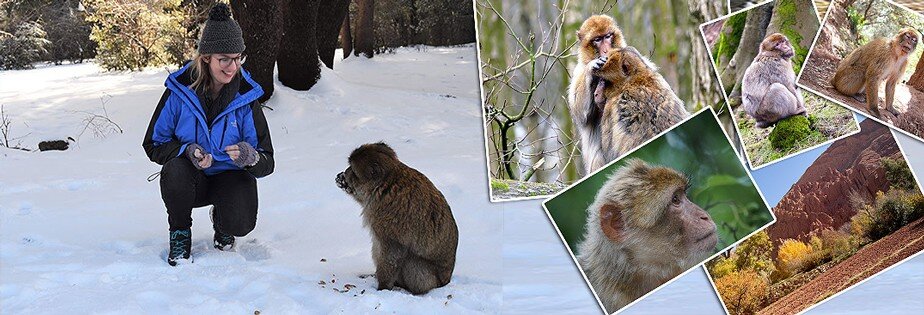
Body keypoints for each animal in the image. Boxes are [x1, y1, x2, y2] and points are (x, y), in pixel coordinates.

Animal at [336, 143, 458, 296]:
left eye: (352, 169)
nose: (345, 172)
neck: (386, 181)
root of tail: (446, 280)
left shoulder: (390, 217)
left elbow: (393, 252)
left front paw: (383, 287)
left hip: (429, 279)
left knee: (411, 261)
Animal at [568, 14, 632, 175]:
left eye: (607, 36)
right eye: (597, 40)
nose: (605, 50)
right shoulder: (579, 70)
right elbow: (579, 112)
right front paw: (592, 68)